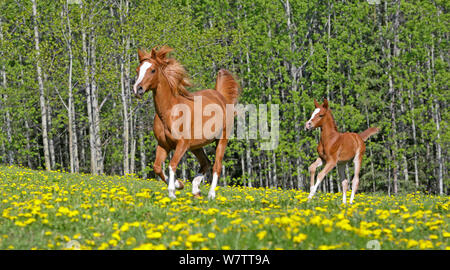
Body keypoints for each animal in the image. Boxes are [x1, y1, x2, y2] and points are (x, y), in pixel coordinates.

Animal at [133, 45, 239, 199]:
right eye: (137, 70)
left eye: (152, 70)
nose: (138, 89)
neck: (170, 112)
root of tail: (220, 95)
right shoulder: (163, 145)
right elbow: (157, 167)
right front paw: (179, 184)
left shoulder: (182, 144)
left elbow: (172, 164)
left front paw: (172, 192)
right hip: (196, 145)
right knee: (206, 162)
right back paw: (195, 189)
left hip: (222, 140)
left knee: (216, 166)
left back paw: (211, 194)